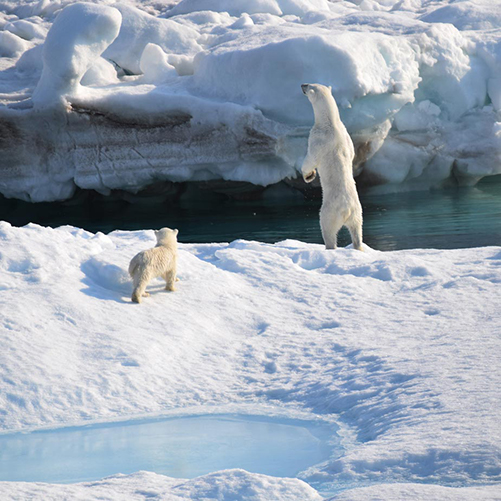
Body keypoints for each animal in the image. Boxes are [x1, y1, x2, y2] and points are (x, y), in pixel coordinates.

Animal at [298, 84, 362, 252]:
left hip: (330, 211)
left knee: (327, 228)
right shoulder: (347, 137)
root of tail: (346, 210)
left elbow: (311, 158)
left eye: (308, 86)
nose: (301, 85)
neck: (331, 122)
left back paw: (329, 247)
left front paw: (308, 176)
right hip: (357, 212)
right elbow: (352, 153)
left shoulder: (318, 138)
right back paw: (358, 246)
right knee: (357, 229)